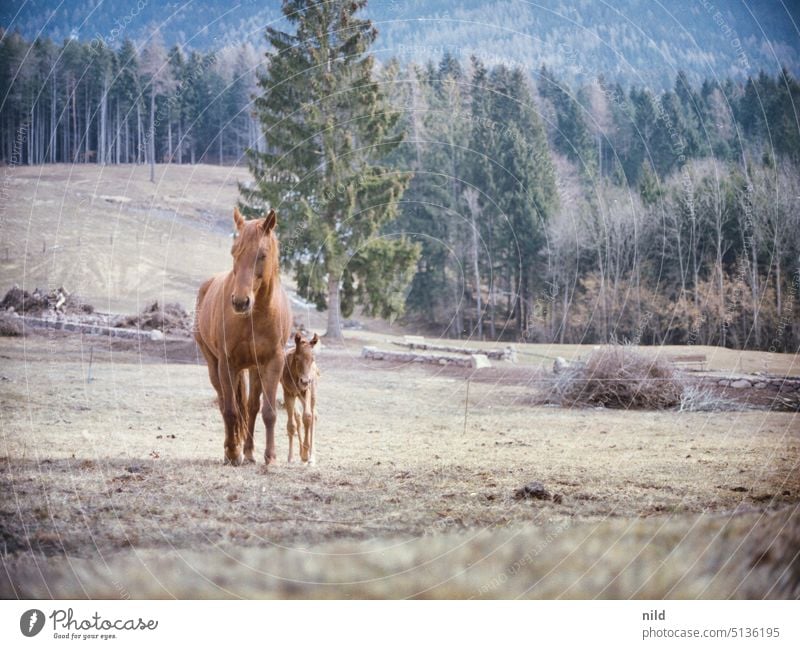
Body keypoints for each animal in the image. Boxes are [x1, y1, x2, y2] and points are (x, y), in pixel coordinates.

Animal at [282, 332, 318, 464]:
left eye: (312, 359)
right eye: (297, 358)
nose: (305, 381)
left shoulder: (306, 391)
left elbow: (307, 417)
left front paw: (306, 455)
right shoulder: (288, 393)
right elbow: (292, 425)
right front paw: (291, 457)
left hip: (311, 393)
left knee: (314, 415)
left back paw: (311, 457)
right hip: (297, 395)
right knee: (297, 417)